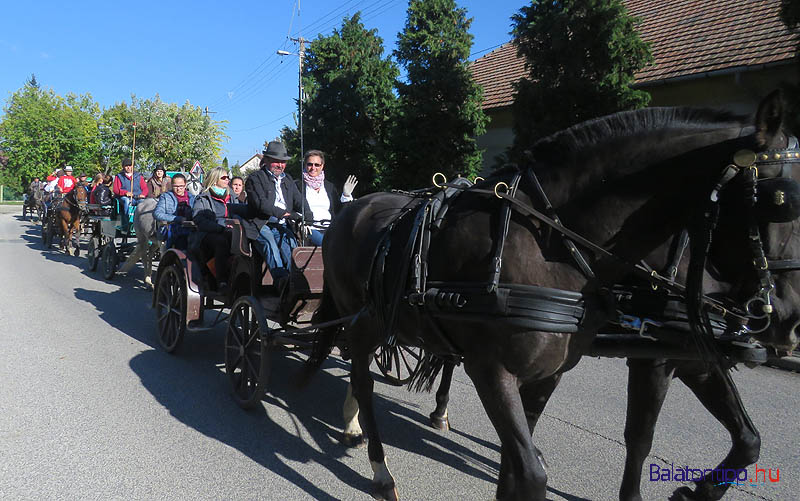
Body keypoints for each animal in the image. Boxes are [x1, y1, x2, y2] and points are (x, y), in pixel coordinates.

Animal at [308, 92, 800, 498]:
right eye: (781, 201)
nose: (790, 318)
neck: (550, 242)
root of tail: (351, 208)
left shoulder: (561, 371)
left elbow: (745, 439)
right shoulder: (496, 370)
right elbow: (555, 466)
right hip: (361, 319)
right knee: (362, 376)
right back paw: (378, 465)